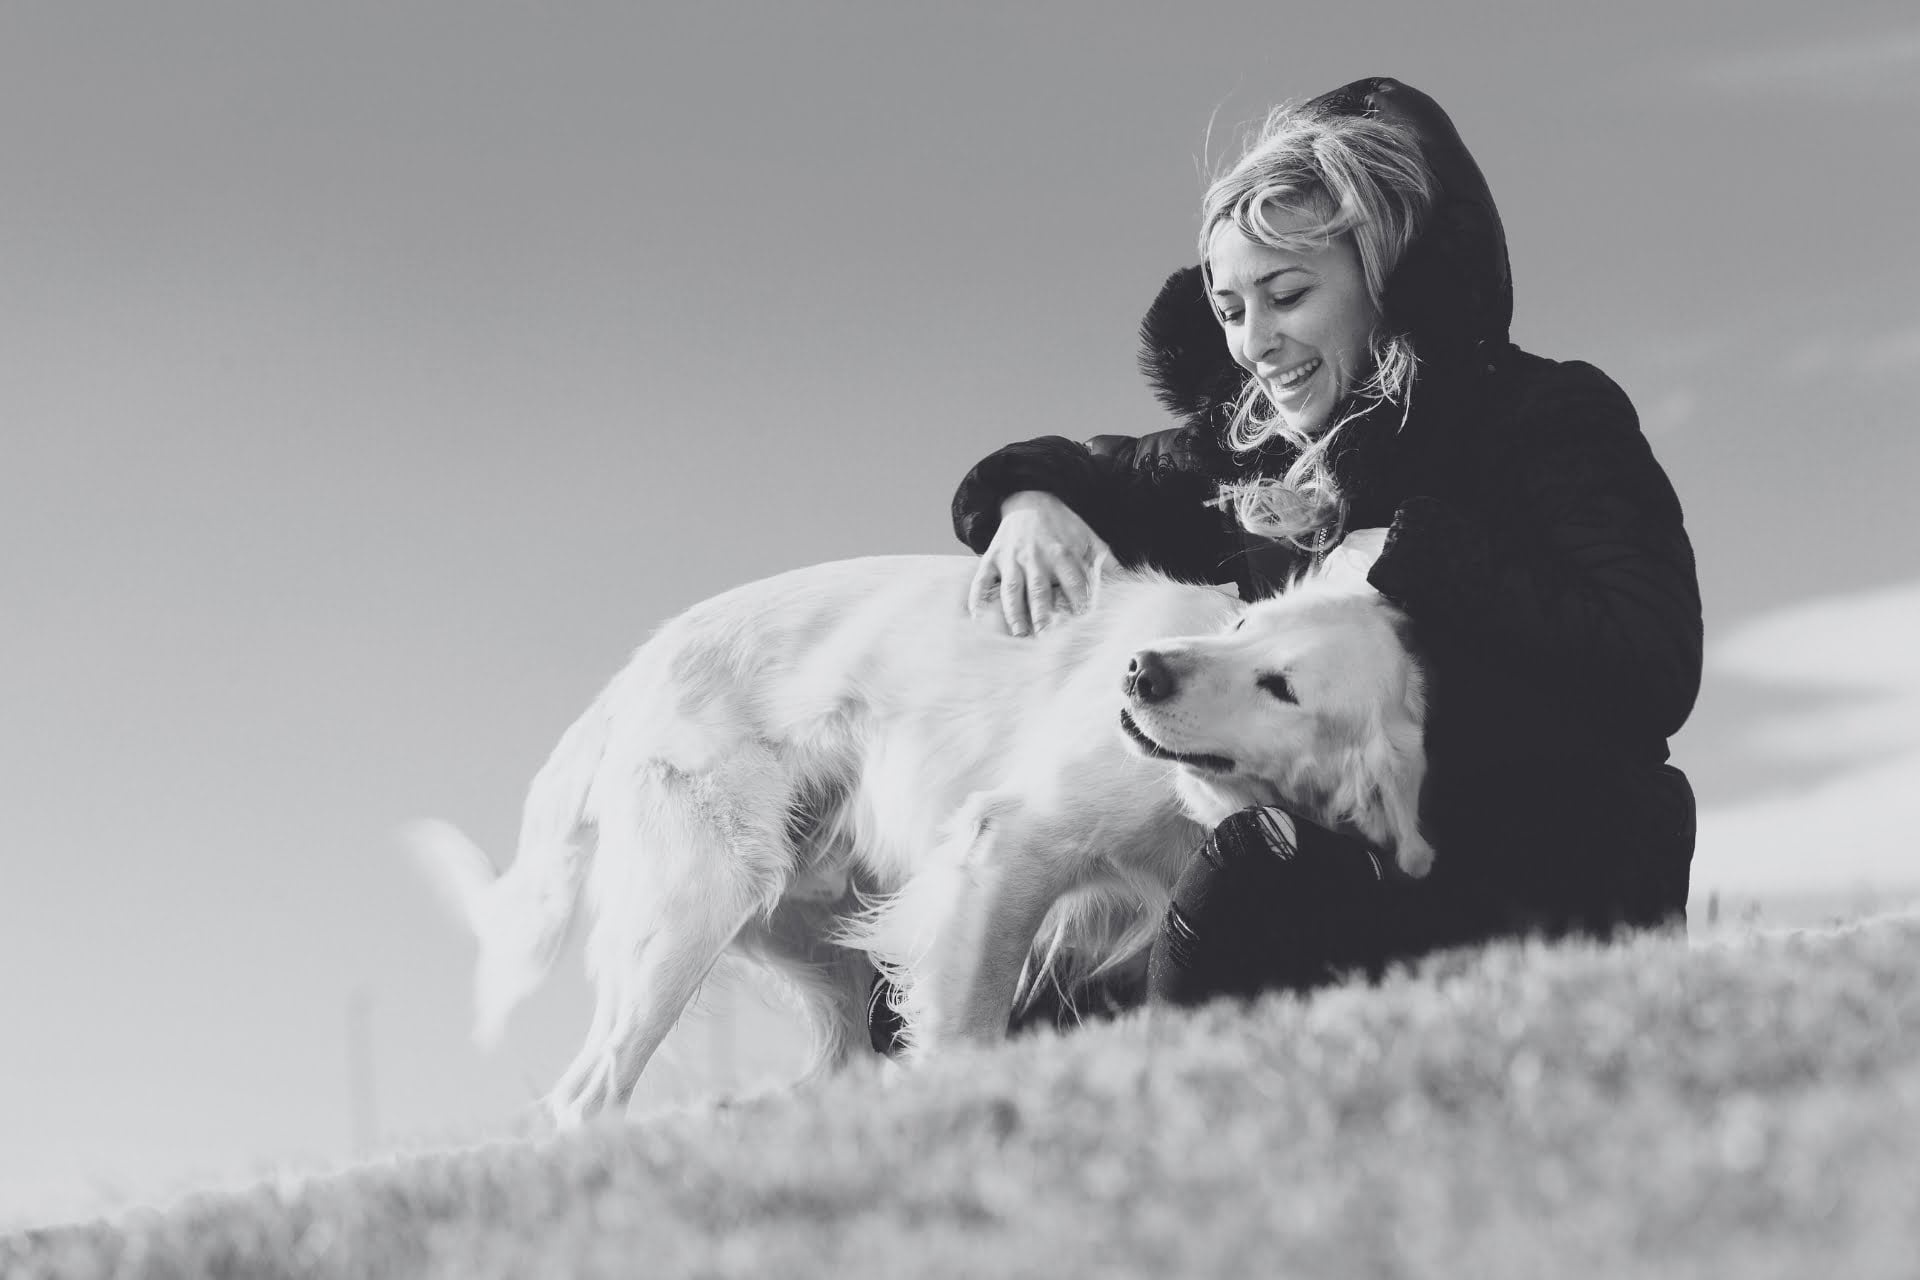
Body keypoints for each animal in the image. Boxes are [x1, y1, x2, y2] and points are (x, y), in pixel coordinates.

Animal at [412, 548, 1436, 1120]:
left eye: (1282, 686)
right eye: (1241, 623)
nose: (1139, 672)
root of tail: (637, 668)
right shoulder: (1006, 847)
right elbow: (969, 1027)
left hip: (820, 942)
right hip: (688, 918)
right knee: (588, 1098)